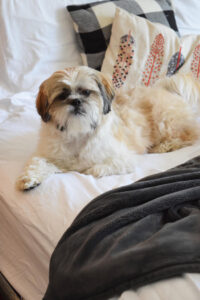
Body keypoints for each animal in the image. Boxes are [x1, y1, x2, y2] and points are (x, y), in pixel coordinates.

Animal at [16, 67, 199, 191]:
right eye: (62, 95)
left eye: (86, 92)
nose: (75, 101)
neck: (77, 132)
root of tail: (167, 90)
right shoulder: (48, 154)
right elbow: (37, 162)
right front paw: (29, 179)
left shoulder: (124, 159)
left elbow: (98, 168)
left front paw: (87, 169)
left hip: (165, 120)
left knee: (189, 137)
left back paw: (164, 146)